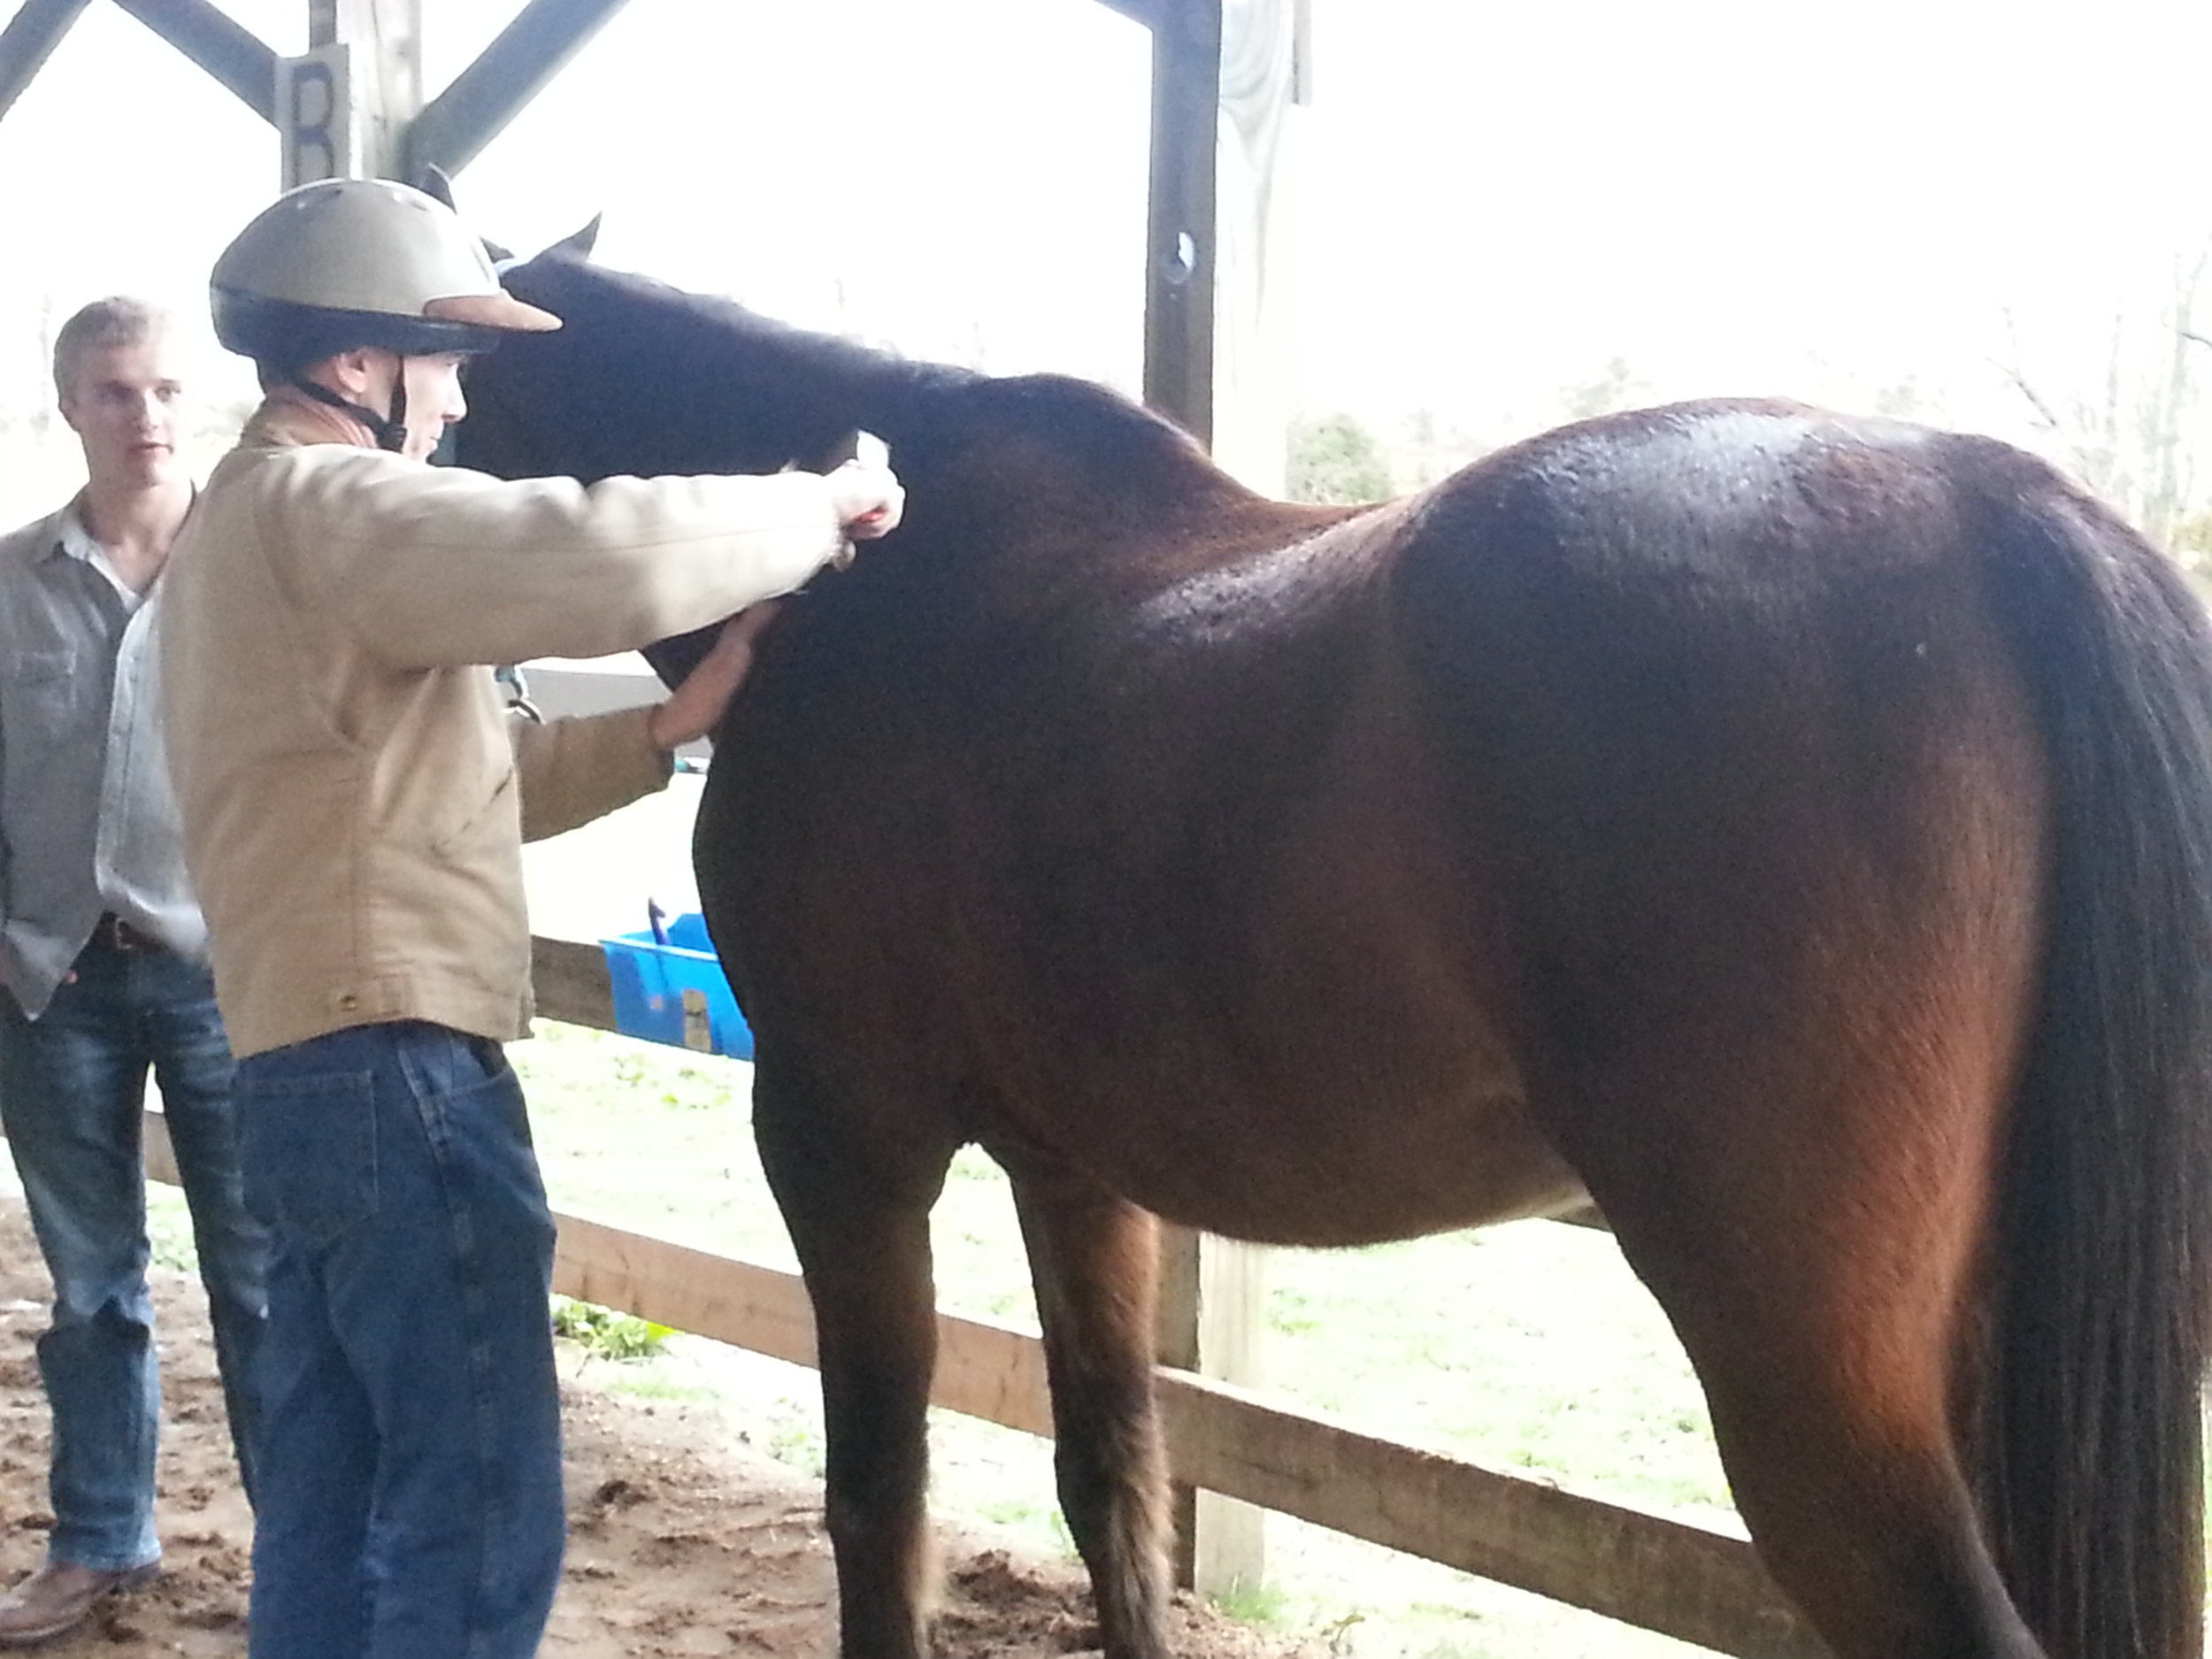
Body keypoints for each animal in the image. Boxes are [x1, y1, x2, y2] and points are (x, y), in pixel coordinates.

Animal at [454, 243, 2212, 1659]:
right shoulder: (1074, 1170)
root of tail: (1992, 505)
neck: (870, 583)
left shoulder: (842, 1135)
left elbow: (880, 1502)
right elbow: (1115, 1483)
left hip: (1816, 1368)